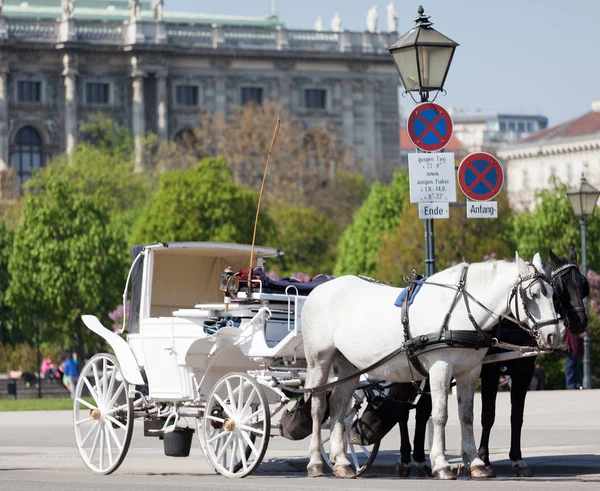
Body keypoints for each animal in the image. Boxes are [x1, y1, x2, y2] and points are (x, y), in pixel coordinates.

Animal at [302, 254, 560, 480]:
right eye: (533, 294)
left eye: (553, 294)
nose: (553, 335)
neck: (460, 311)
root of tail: (318, 290)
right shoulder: (440, 368)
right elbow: (440, 416)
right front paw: (441, 465)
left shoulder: (470, 371)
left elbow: (467, 416)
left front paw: (476, 463)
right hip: (319, 361)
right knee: (318, 406)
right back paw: (315, 462)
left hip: (348, 364)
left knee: (338, 405)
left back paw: (342, 462)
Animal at [392, 248, 588, 478]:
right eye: (560, 288)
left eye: (583, 286)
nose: (580, 323)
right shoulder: (489, 370)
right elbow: (488, 415)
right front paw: (483, 458)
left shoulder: (524, 371)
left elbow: (516, 416)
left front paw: (517, 460)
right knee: (403, 412)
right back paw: (406, 459)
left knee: (421, 411)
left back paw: (420, 460)